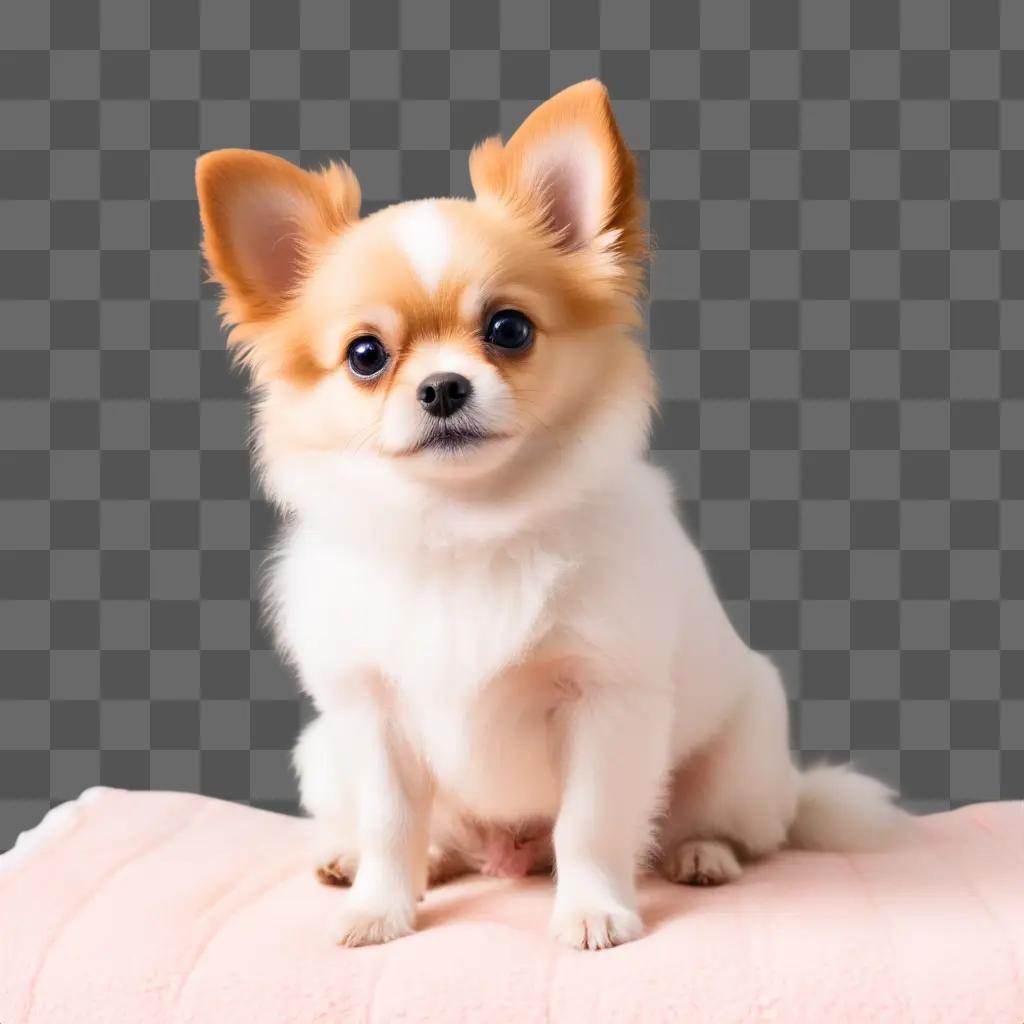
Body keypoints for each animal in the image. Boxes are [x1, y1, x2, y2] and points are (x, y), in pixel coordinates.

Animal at [193, 79, 905, 950]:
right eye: (366, 356)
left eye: (509, 329)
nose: (442, 387)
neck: (464, 527)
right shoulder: (370, 713)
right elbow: (393, 824)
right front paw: (379, 908)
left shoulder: (607, 703)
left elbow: (590, 825)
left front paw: (594, 909)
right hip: (321, 753)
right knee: (426, 834)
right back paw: (381, 860)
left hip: (745, 761)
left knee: (726, 830)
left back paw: (703, 855)